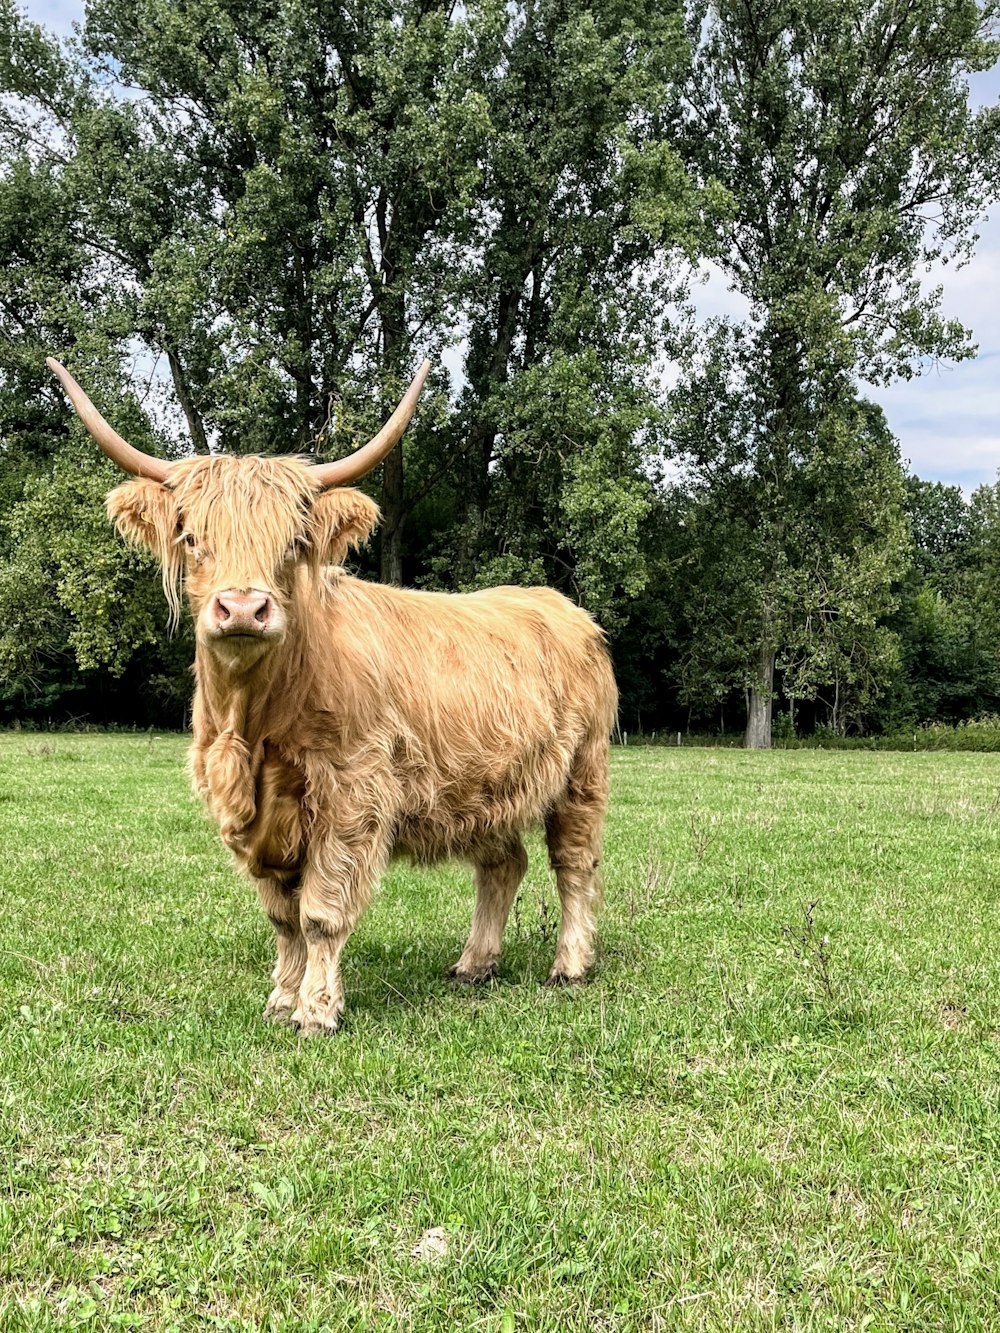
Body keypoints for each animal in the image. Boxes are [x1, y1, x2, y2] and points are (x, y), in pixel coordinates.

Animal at [53, 354, 626, 1029]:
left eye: (294, 543)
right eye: (192, 538)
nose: (242, 608)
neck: (253, 726)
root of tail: (562, 606)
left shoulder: (351, 794)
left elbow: (320, 913)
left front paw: (317, 1009)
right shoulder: (250, 811)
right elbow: (281, 915)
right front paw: (281, 998)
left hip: (583, 768)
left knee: (574, 862)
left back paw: (570, 966)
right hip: (489, 784)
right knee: (503, 863)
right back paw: (473, 964)